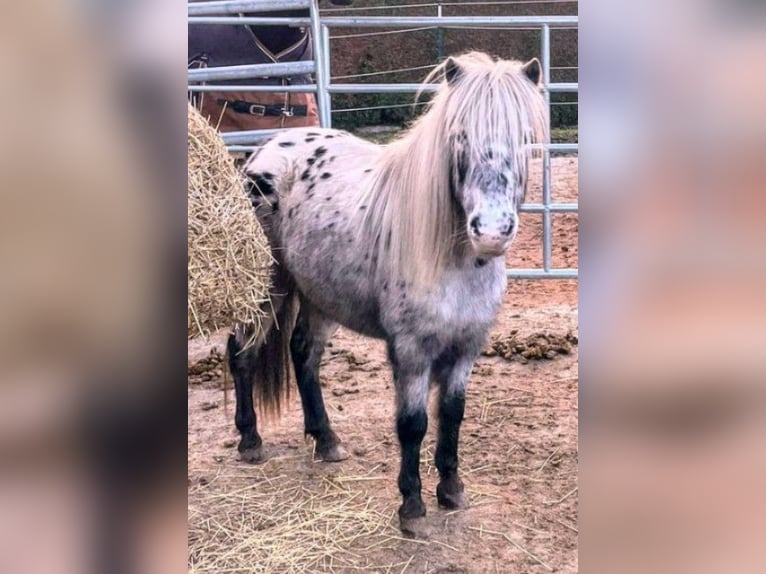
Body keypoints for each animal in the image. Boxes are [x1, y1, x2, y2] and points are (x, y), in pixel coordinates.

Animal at [231, 51, 548, 536]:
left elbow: (452, 415)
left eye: (525, 140)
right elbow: (413, 423)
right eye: (459, 137)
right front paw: (412, 507)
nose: (492, 231)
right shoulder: (412, 350)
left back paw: (326, 441)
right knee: (242, 353)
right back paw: (250, 440)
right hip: (267, 286)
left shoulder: (466, 346)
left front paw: (451, 490)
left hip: (320, 295)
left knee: (303, 353)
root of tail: (265, 150)